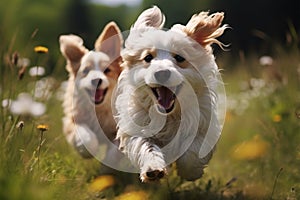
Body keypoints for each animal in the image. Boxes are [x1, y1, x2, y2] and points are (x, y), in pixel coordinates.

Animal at [59, 21, 122, 159]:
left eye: (107, 70)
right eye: (86, 71)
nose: (96, 80)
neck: (99, 109)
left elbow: (116, 149)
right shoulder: (73, 120)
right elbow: (86, 136)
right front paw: (88, 150)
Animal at [113, 6, 226, 182]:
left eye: (179, 57)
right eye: (148, 57)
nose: (162, 73)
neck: (169, 116)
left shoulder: (203, 124)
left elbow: (192, 152)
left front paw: (190, 172)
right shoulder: (137, 125)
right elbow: (146, 146)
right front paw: (153, 169)